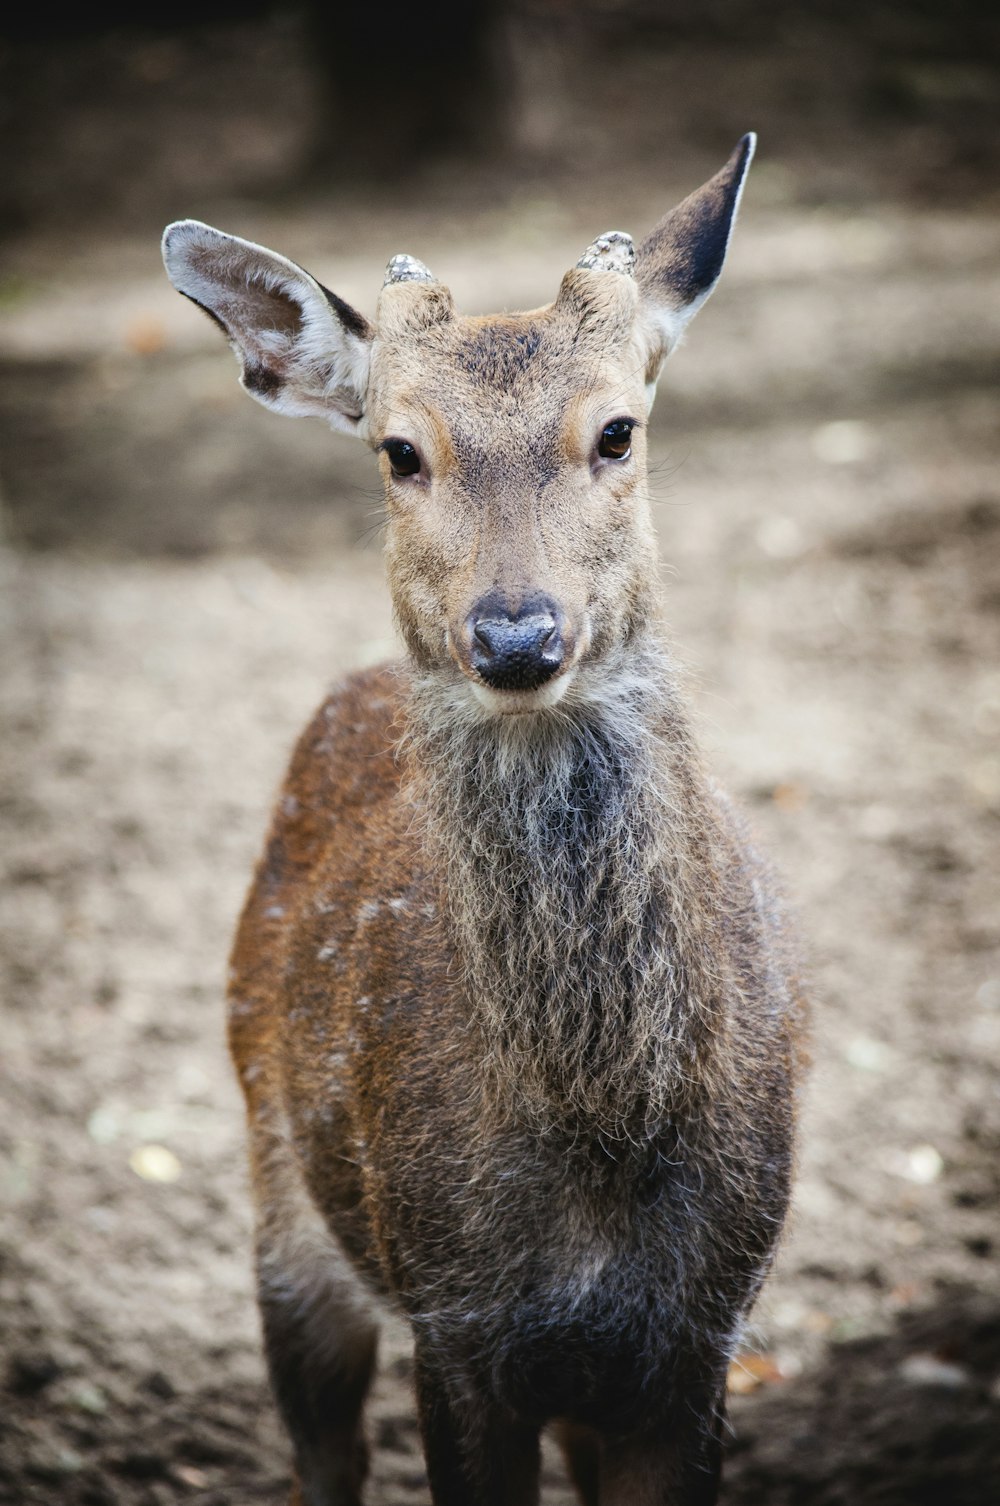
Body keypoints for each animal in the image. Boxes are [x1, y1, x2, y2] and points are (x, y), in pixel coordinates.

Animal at [161, 132, 807, 1506]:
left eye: (617, 430)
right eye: (399, 450)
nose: (516, 635)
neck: (599, 1144)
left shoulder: (699, 1334)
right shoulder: (452, 1322)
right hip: (282, 1203)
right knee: (322, 1447)